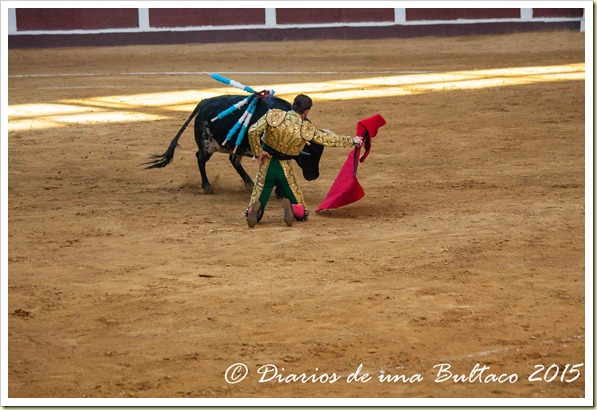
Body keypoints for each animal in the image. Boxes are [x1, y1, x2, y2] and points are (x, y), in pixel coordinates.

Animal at [144, 94, 324, 194]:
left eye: (318, 157)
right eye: (308, 158)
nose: (313, 176)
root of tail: (204, 102)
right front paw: (280, 191)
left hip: (235, 147)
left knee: (233, 160)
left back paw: (249, 183)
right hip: (207, 145)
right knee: (200, 158)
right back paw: (207, 186)